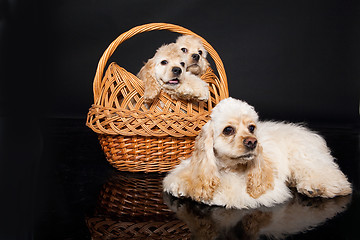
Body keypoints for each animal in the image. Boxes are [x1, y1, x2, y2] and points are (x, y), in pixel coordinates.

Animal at [163, 97, 352, 208]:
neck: (227, 167)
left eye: (252, 128)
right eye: (228, 130)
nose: (252, 142)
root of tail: (310, 134)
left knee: (331, 177)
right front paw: (182, 187)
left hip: (305, 158)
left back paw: (317, 188)